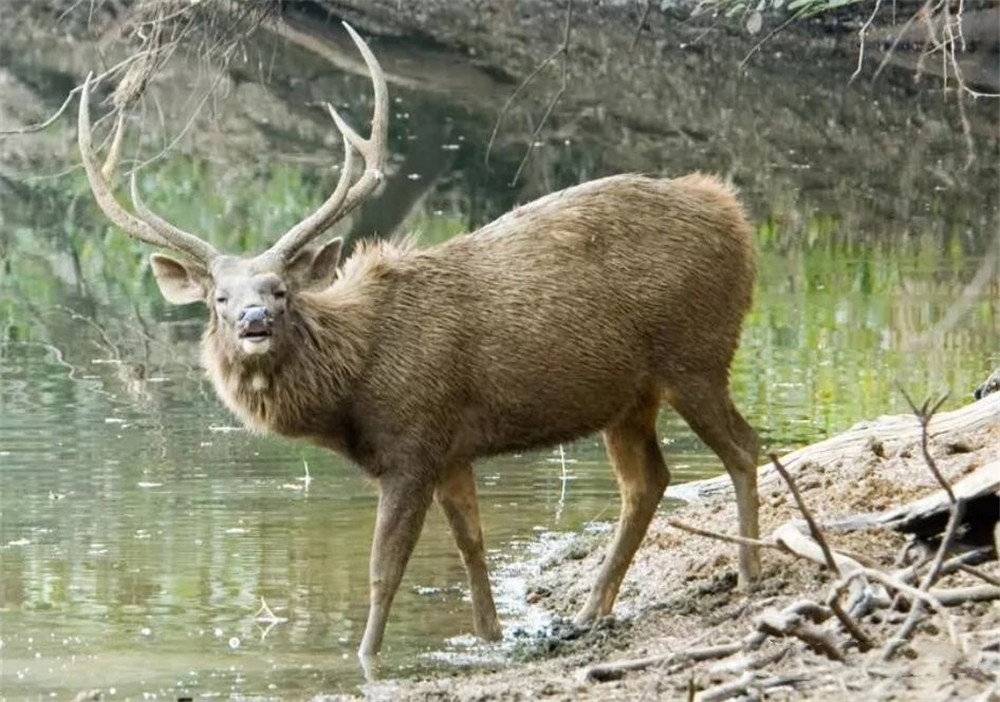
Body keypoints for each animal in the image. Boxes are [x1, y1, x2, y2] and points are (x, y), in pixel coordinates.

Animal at [78, 23, 760, 664]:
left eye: (280, 290)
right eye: (218, 297)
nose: (253, 321)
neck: (351, 390)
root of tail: (734, 215)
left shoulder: (413, 443)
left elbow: (385, 570)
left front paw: (366, 656)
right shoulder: (453, 449)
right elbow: (472, 547)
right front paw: (491, 636)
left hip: (697, 353)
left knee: (743, 447)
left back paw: (750, 573)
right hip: (628, 397)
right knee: (647, 481)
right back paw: (592, 609)